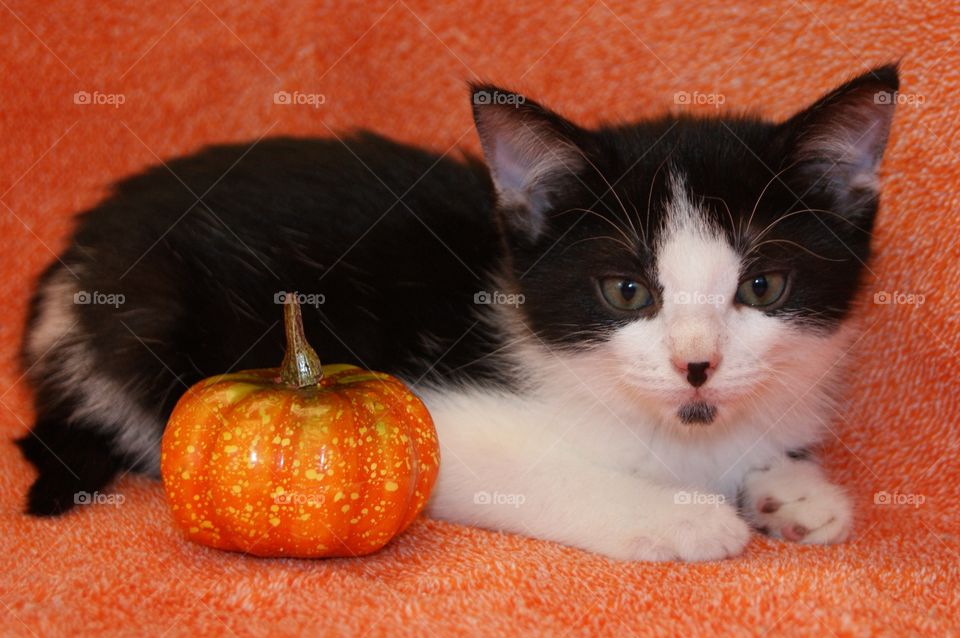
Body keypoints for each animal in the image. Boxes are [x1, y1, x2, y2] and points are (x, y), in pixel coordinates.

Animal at [16, 67, 900, 564]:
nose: (696, 364)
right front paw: (680, 518)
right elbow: (537, 471)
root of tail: (77, 257)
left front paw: (792, 487)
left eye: (763, 286)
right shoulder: (418, 413)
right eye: (626, 292)